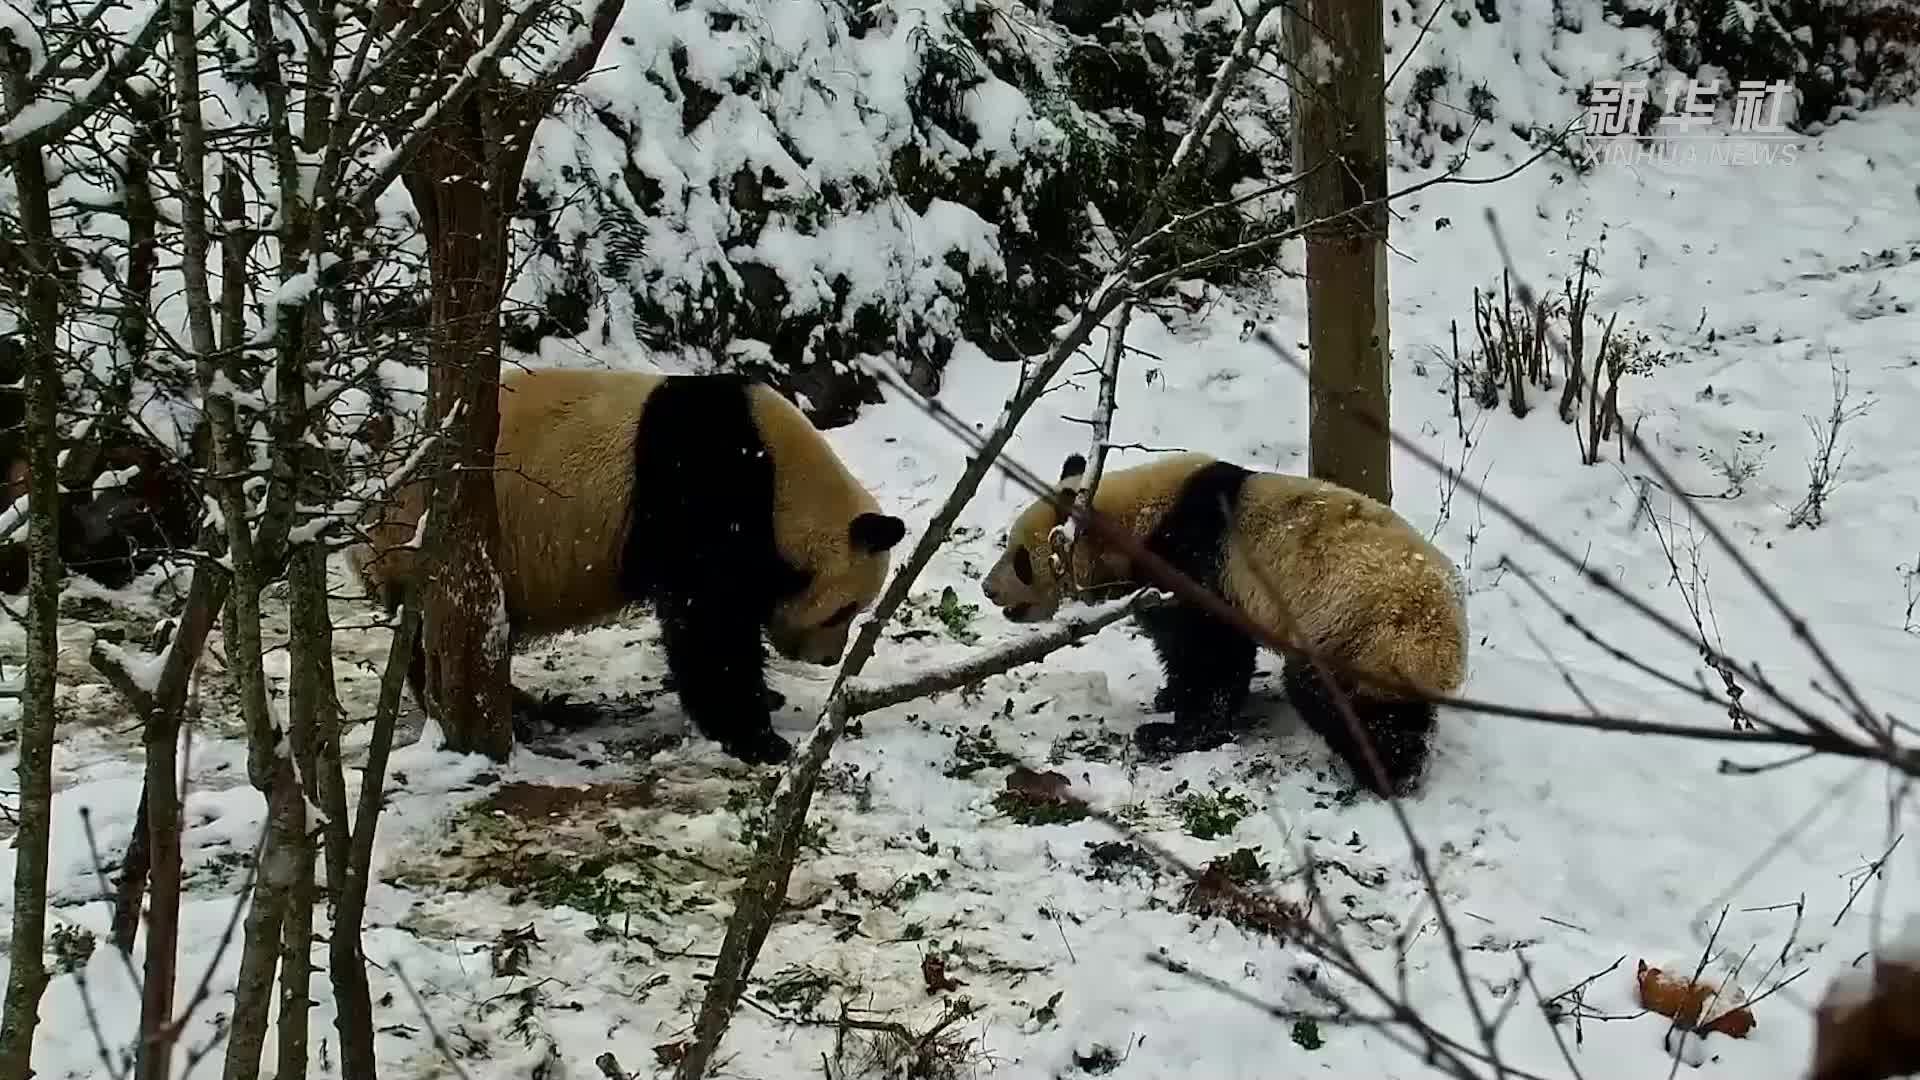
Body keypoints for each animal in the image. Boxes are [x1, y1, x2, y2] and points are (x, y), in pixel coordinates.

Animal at [347, 368, 906, 764]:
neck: (782, 477)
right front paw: (755, 737)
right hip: (428, 549)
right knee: (434, 641)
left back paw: (534, 706)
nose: (829, 660)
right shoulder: (702, 491)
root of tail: (368, 524)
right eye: (844, 610)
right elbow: (707, 625)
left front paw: (765, 699)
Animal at [990, 449, 1466, 795]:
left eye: (1021, 560)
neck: (1135, 518)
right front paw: (1168, 697)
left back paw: (1384, 776)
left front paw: (1174, 731)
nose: (989, 589)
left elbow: (1208, 650)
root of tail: (1447, 636)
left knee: (1342, 703)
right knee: (1398, 714)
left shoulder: (1192, 557)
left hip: (1358, 629)